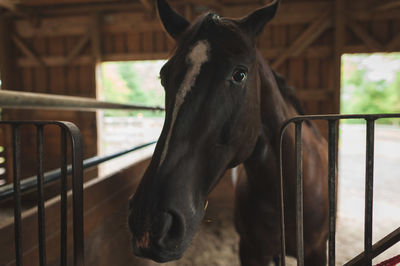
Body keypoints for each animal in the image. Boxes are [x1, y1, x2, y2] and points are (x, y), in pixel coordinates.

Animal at [128, 1, 328, 264]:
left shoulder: (317, 251)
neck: (287, 195)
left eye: (239, 74)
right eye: (164, 77)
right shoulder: (250, 251)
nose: (149, 222)